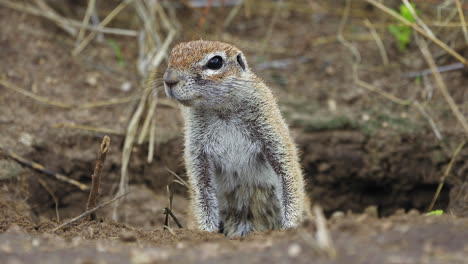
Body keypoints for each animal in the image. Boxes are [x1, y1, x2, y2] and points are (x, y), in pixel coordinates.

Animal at [162, 40, 308, 238]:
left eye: (215, 62)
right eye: (171, 56)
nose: (169, 80)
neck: (222, 111)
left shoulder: (271, 131)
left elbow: (288, 173)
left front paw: (290, 226)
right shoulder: (197, 150)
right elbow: (202, 192)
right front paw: (206, 232)